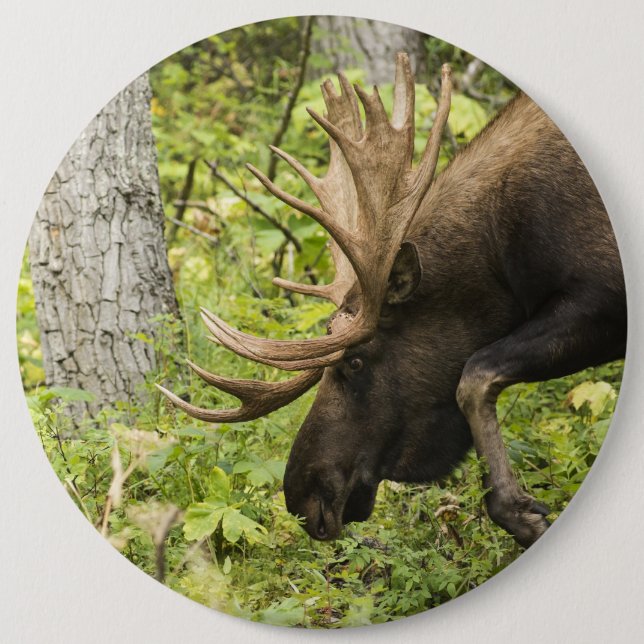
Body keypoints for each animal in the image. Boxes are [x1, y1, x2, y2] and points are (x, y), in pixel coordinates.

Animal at [157, 53, 626, 548]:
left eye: (355, 361)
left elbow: (475, 374)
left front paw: (521, 512)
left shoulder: (602, 295)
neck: (503, 258)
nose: (303, 497)